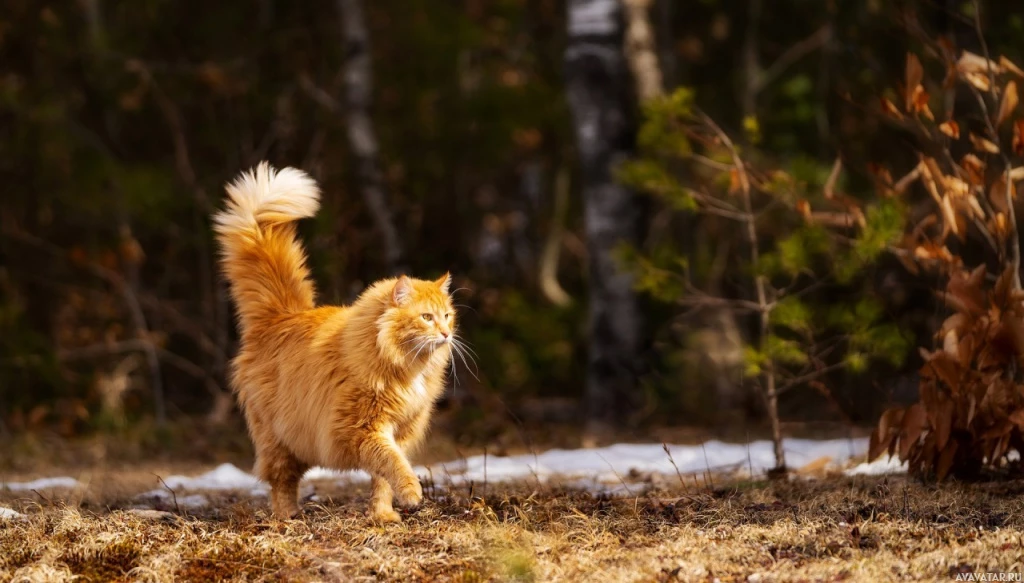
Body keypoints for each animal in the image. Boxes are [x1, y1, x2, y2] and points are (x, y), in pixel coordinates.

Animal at [214, 161, 454, 520]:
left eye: (447, 316)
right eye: (426, 317)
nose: (446, 334)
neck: (407, 366)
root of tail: (280, 315)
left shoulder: (400, 430)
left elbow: (382, 479)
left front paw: (382, 515)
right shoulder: (361, 429)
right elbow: (393, 463)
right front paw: (412, 493)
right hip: (279, 438)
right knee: (280, 481)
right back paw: (288, 517)